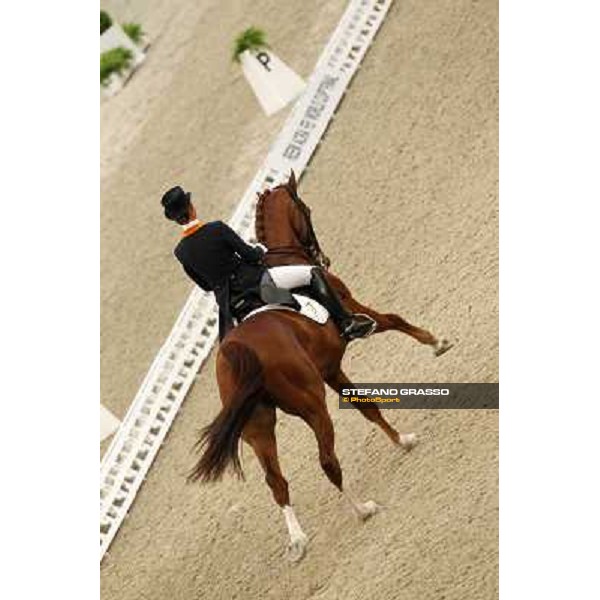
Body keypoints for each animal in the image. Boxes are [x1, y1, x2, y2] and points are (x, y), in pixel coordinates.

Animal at [191, 172, 450, 564]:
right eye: (306, 209)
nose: (322, 257)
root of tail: (239, 351)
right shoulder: (353, 307)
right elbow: (392, 320)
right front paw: (436, 343)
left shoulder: (330, 369)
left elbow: (368, 408)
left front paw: (403, 441)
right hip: (311, 406)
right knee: (327, 461)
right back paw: (363, 509)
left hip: (258, 428)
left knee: (277, 482)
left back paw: (298, 541)